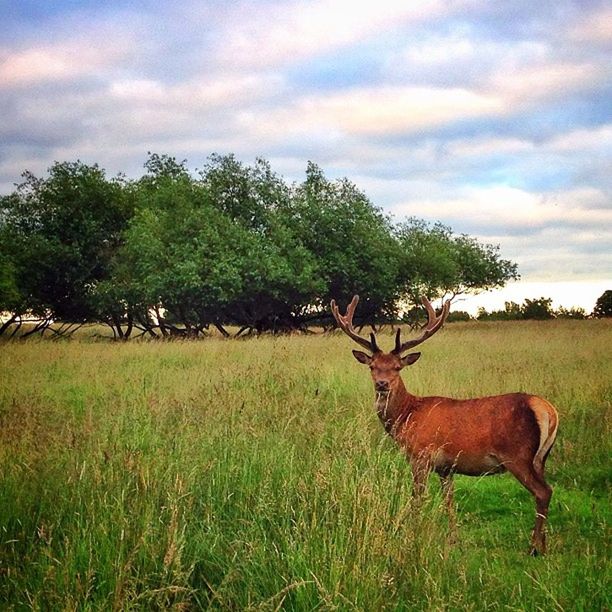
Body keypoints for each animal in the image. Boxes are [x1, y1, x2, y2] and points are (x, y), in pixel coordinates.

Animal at [332, 296, 556, 556]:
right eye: (372, 366)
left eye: (398, 367)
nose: (382, 384)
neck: (407, 415)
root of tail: (547, 409)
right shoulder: (446, 467)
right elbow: (448, 500)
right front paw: (454, 539)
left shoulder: (420, 456)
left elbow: (417, 498)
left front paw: (413, 535)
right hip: (540, 459)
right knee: (546, 489)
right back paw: (544, 543)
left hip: (517, 455)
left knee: (543, 492)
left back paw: (534, 547)